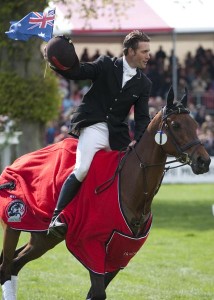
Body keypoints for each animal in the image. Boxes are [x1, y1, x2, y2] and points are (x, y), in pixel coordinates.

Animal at [0, 87, 211, 300]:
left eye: (195, 124)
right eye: (176, 125)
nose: (204, 161)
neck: (132, 188)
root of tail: (19, 160)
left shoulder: (120, 251)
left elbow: (95, 293)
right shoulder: (90, 244)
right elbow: (98, 292)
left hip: (44, 237)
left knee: (15, 264)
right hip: (16, 224)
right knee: (6, 267)